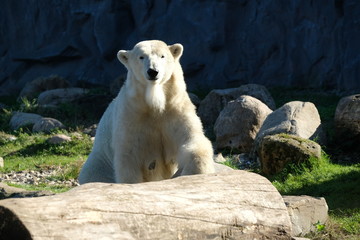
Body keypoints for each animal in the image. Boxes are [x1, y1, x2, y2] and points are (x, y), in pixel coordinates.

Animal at [78, 39, 214, 184]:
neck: (154, 103)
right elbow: (129, 157)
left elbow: (191, 138)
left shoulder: (175, 108)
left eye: (162, 56)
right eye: (141, 57)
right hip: (100, 161)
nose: (153, 71)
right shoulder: (131, 114)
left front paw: (194, 172)